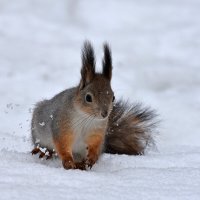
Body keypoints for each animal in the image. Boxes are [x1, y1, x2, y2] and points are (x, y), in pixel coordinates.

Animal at [30, 41, 156, 170]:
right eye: (88, 98)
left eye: (113, 97)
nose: (105, 114)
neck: (86, 117)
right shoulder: (62, 127)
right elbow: (62, 146)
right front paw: (68, 162)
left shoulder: (97, 132)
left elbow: (94, 146)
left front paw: (91, 159)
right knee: (45, 147)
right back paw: (44, 152)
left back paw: (81, 164)